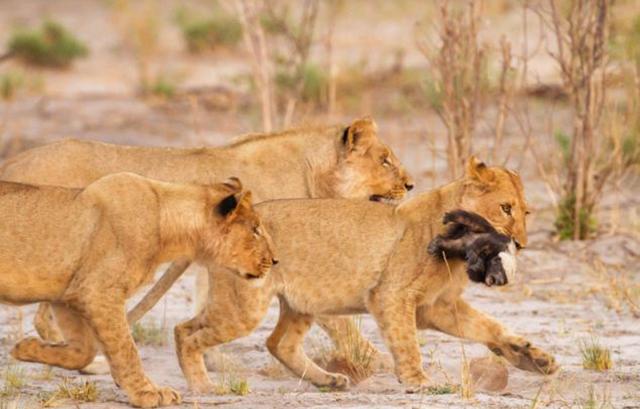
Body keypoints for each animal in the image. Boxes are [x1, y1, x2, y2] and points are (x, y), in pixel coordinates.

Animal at [0, 115, 412, 372]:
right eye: (385, 160)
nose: (410, 185)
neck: (314, 174)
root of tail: (13, 162)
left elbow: (203, 302)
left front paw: (209, 359)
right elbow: (335, 320)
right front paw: (376, 360)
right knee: (45, 316)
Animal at [169, 157, 556, 392]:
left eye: (526, 212)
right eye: (505, 208)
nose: (520, 244)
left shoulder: (436, 305)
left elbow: (488, 326)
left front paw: (534, 358)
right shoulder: (391, 295)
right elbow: (406, 341)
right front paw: (417, 380)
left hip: (298, 304)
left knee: (278, 343)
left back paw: (328, 381)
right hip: (243, 308)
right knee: (185, 331)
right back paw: (202, 386)